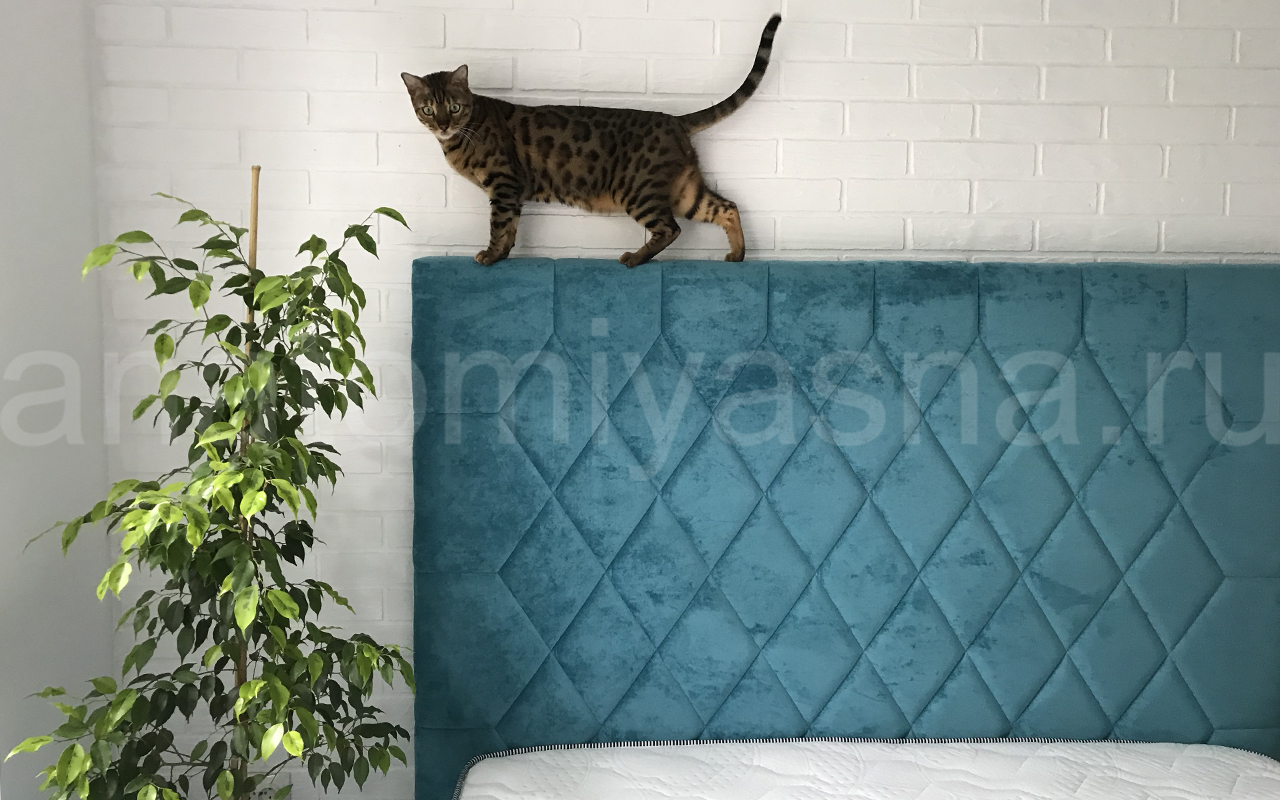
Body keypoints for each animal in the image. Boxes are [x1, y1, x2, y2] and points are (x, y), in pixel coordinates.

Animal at [401, 14, 782, 268]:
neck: (462, 135)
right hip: (685, 192)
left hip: (637, 191)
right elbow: (511, 227)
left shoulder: (504, 183)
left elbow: (499, 224)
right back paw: (738, 254)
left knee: (671, 229)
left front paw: (491, 256)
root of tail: (674, 120)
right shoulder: (513, 190)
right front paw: (505, 254)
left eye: (453, 106)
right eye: (427, 109)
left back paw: (635, 258)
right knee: (726, 207)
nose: (443, 125)